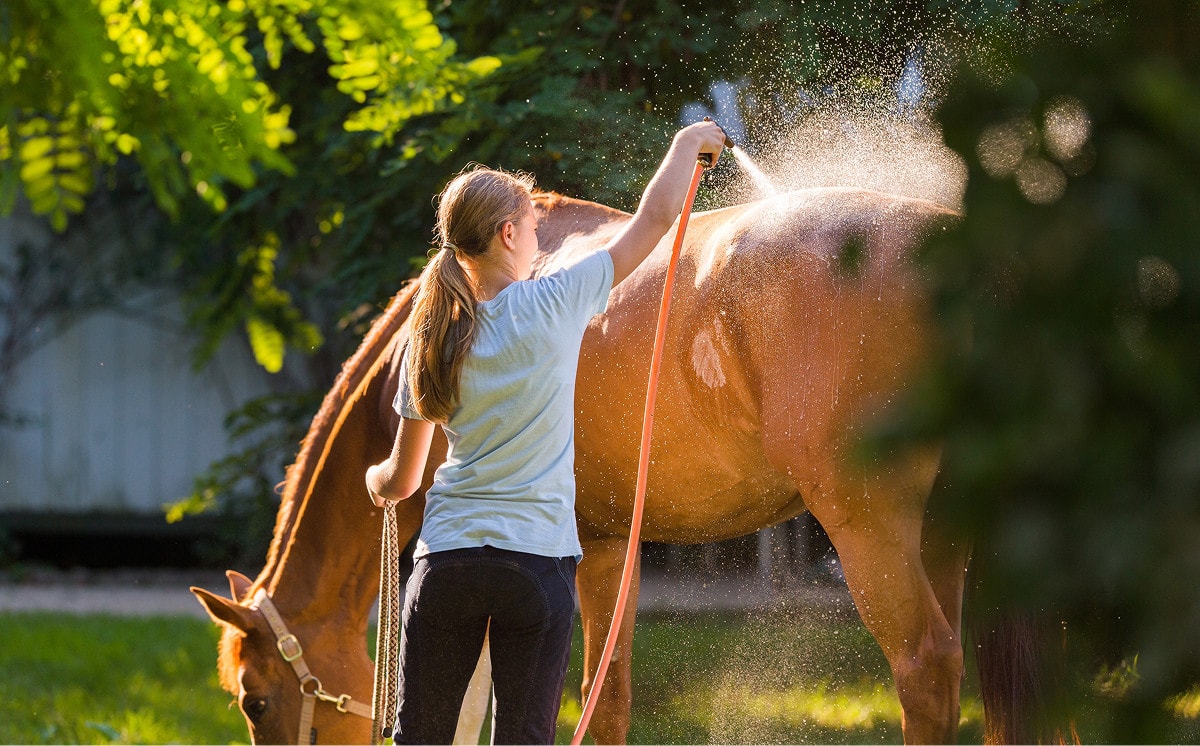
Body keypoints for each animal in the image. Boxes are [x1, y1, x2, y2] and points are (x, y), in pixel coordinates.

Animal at [193, 185, 1009, 744]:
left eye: (255, 699)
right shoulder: (611, 544)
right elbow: (602, 697)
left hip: (869, 530)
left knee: (926, 667)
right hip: (946, 532)